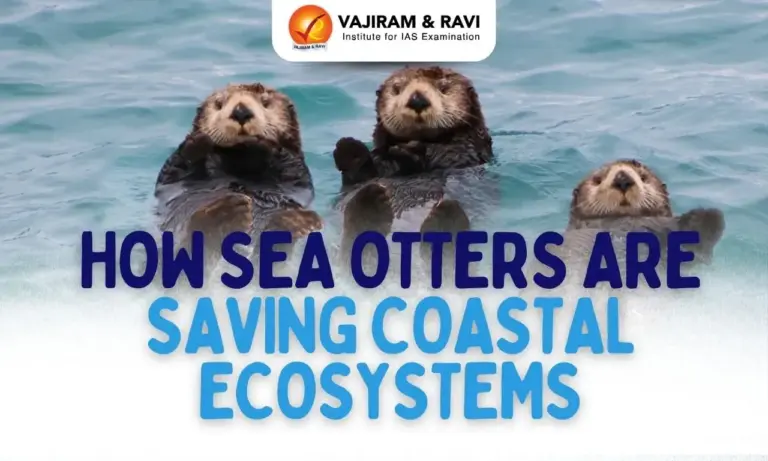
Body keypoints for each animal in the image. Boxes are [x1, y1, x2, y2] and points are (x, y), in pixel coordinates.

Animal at [154, 83, 321, 268]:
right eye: (219, 103)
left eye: (265, 102)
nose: (241, 111)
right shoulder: (172, 174)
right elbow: (174, 170)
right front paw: (198, 141)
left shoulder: (297, 171)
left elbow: (291, 168)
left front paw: (263, 143)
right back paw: (224, 214)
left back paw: (293, 222)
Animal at [331, 66, 497, 278]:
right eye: (397, 88)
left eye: (443, 88)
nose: (417, 100)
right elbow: (363, 173)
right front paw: (351, 151)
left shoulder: (465, 152)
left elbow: (447, 154)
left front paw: (409, 152)